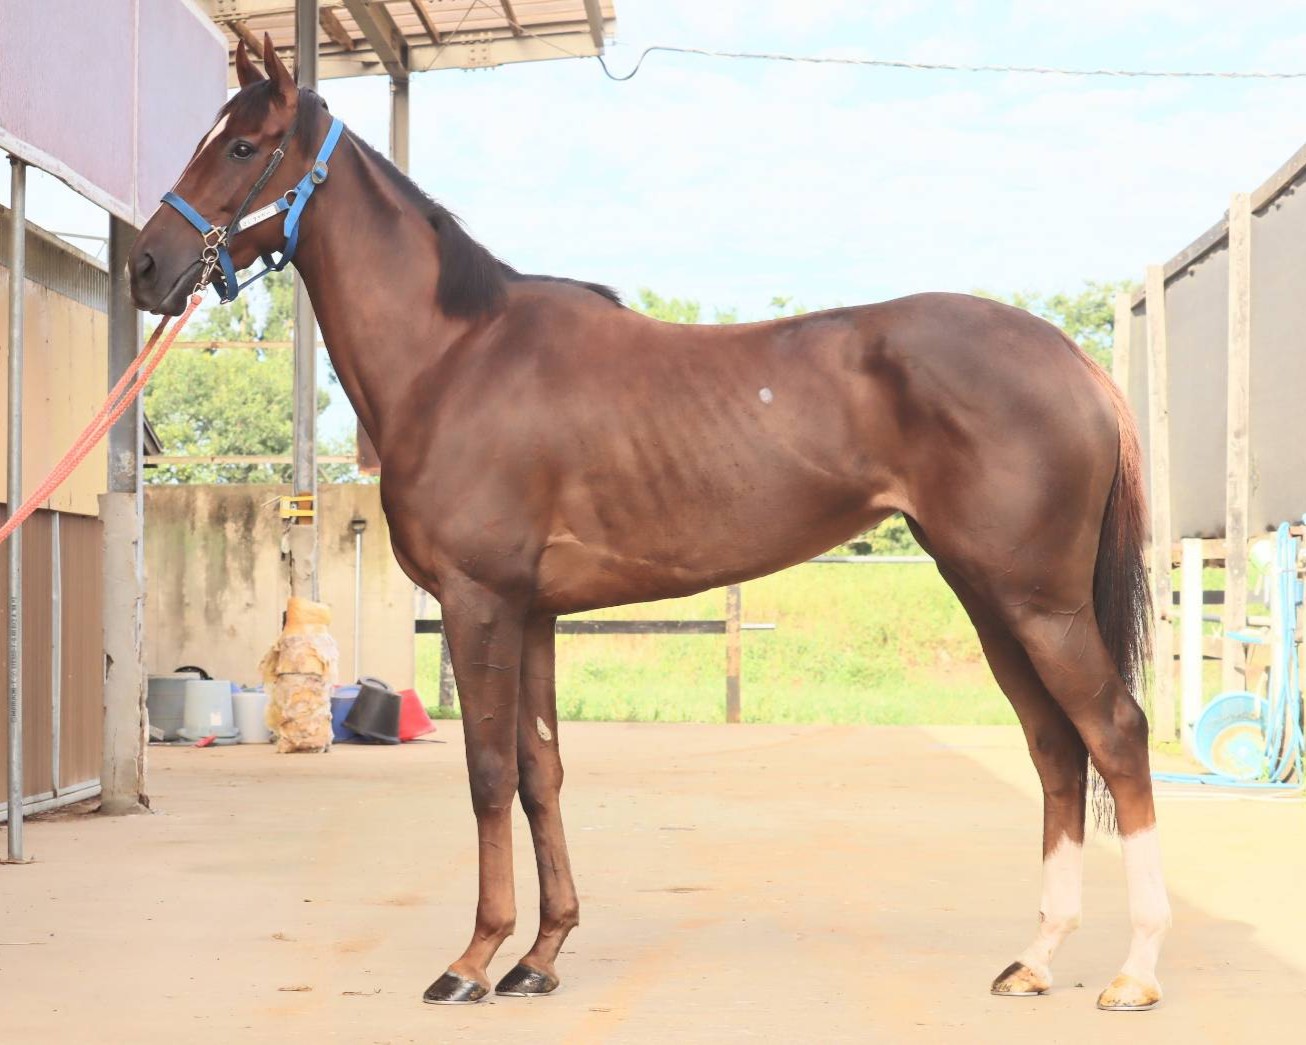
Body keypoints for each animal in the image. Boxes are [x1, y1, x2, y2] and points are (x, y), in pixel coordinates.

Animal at [128, 35, 1171, 1012]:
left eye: (243, 146)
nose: (145, 265)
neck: (455, 355)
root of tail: (1075, 362)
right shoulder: (533, 614)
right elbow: (540, 771)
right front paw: (540, 957)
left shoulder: (479, 602)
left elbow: (486, 774)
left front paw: (473, 961)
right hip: (992, 599)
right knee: (1055, 746)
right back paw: (1036, 959)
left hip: (1037, 603)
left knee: (1116, 732)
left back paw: (1134, 970)